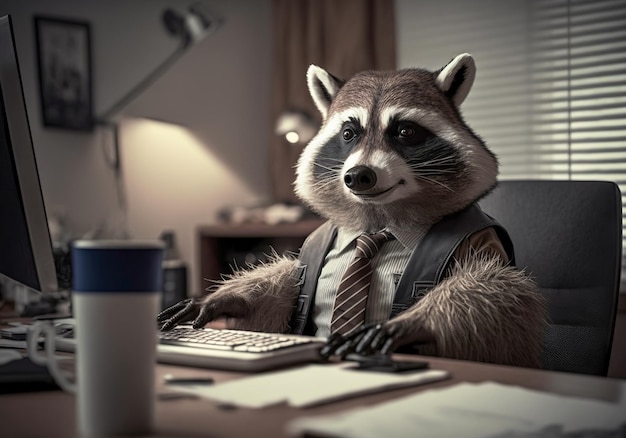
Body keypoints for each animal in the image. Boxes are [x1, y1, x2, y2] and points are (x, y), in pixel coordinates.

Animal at [157, 54, 544, 370]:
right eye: (348, 133)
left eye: (405, 131)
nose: (359, 175)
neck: (379, 218)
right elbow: (283, 290)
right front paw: (229, 298)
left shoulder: (479, 241)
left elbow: (498, 297)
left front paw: (419, 319)